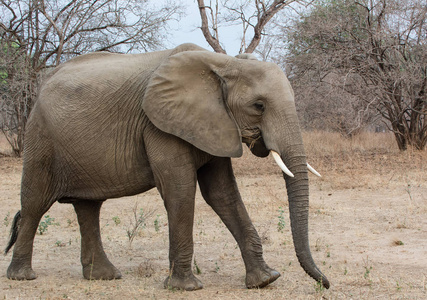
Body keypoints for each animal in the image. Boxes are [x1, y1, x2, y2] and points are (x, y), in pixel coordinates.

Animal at [4, 42, 332, 290]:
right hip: (41, 138)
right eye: (259, 106)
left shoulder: (214, 123)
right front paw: (186, 287)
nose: (325, 284)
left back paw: (104, 277)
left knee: (88, 208)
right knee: (34, 203)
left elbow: (222, 194)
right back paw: (22, 277)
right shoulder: (158, 125)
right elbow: (180, 189)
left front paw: (265, 280)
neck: (223, 63)